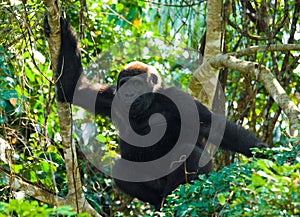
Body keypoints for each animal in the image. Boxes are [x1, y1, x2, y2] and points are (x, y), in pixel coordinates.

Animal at [44, 17, 264, 210]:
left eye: (137, 84)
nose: (129, 94)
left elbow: (212, 125)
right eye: (125, 85)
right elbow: (72, 87)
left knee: (190, 153)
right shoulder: (110, 96)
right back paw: (159, 202)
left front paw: (263, 152)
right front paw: (62, 29)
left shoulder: (178, 100)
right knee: (122, 169)